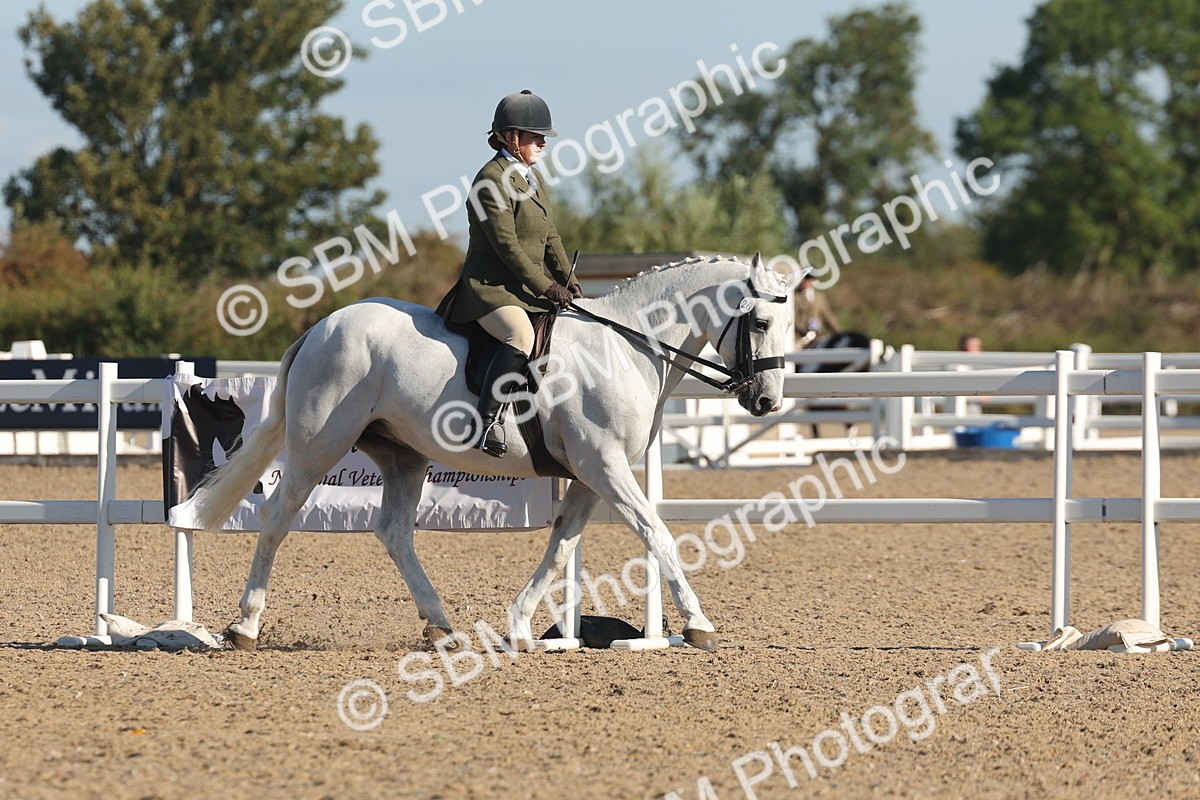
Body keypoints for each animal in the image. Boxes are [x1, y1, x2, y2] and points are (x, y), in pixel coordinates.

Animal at [187, 253, 795, 653]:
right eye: (762, 321)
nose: (767, 400)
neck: (625, 348)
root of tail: (321, 327)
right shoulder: (604, 465)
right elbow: (657, 533)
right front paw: (698, 624)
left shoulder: (589, 474)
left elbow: (560, 546)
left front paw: (522, 626)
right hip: (320, 443)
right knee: (277, 517)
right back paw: (245, 626)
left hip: (402, 455)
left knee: (394, 531)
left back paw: (440, 625)